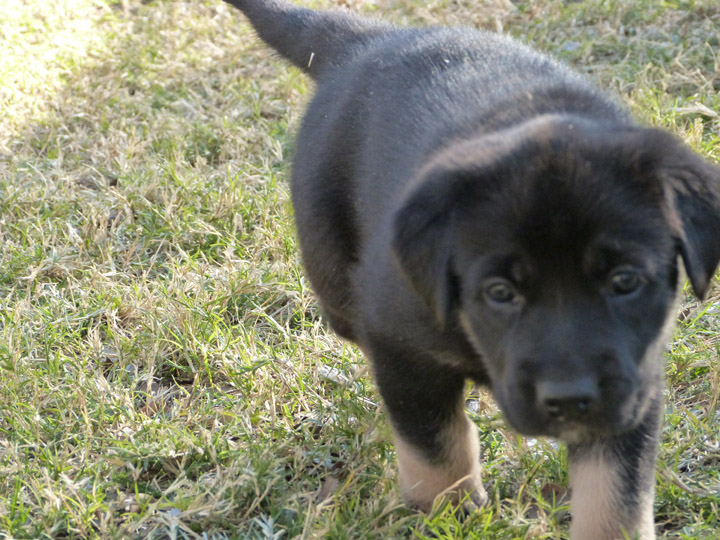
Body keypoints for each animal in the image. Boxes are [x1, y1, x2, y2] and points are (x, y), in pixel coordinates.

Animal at [224, 2, 720, 536]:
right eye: (500, 292)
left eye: (625, 282)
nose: (568, 399)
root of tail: (364, 40)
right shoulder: (400, 341)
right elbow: (432, 437)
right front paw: (448, 508)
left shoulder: (635, 384)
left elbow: (615, 493)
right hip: (334, 277)